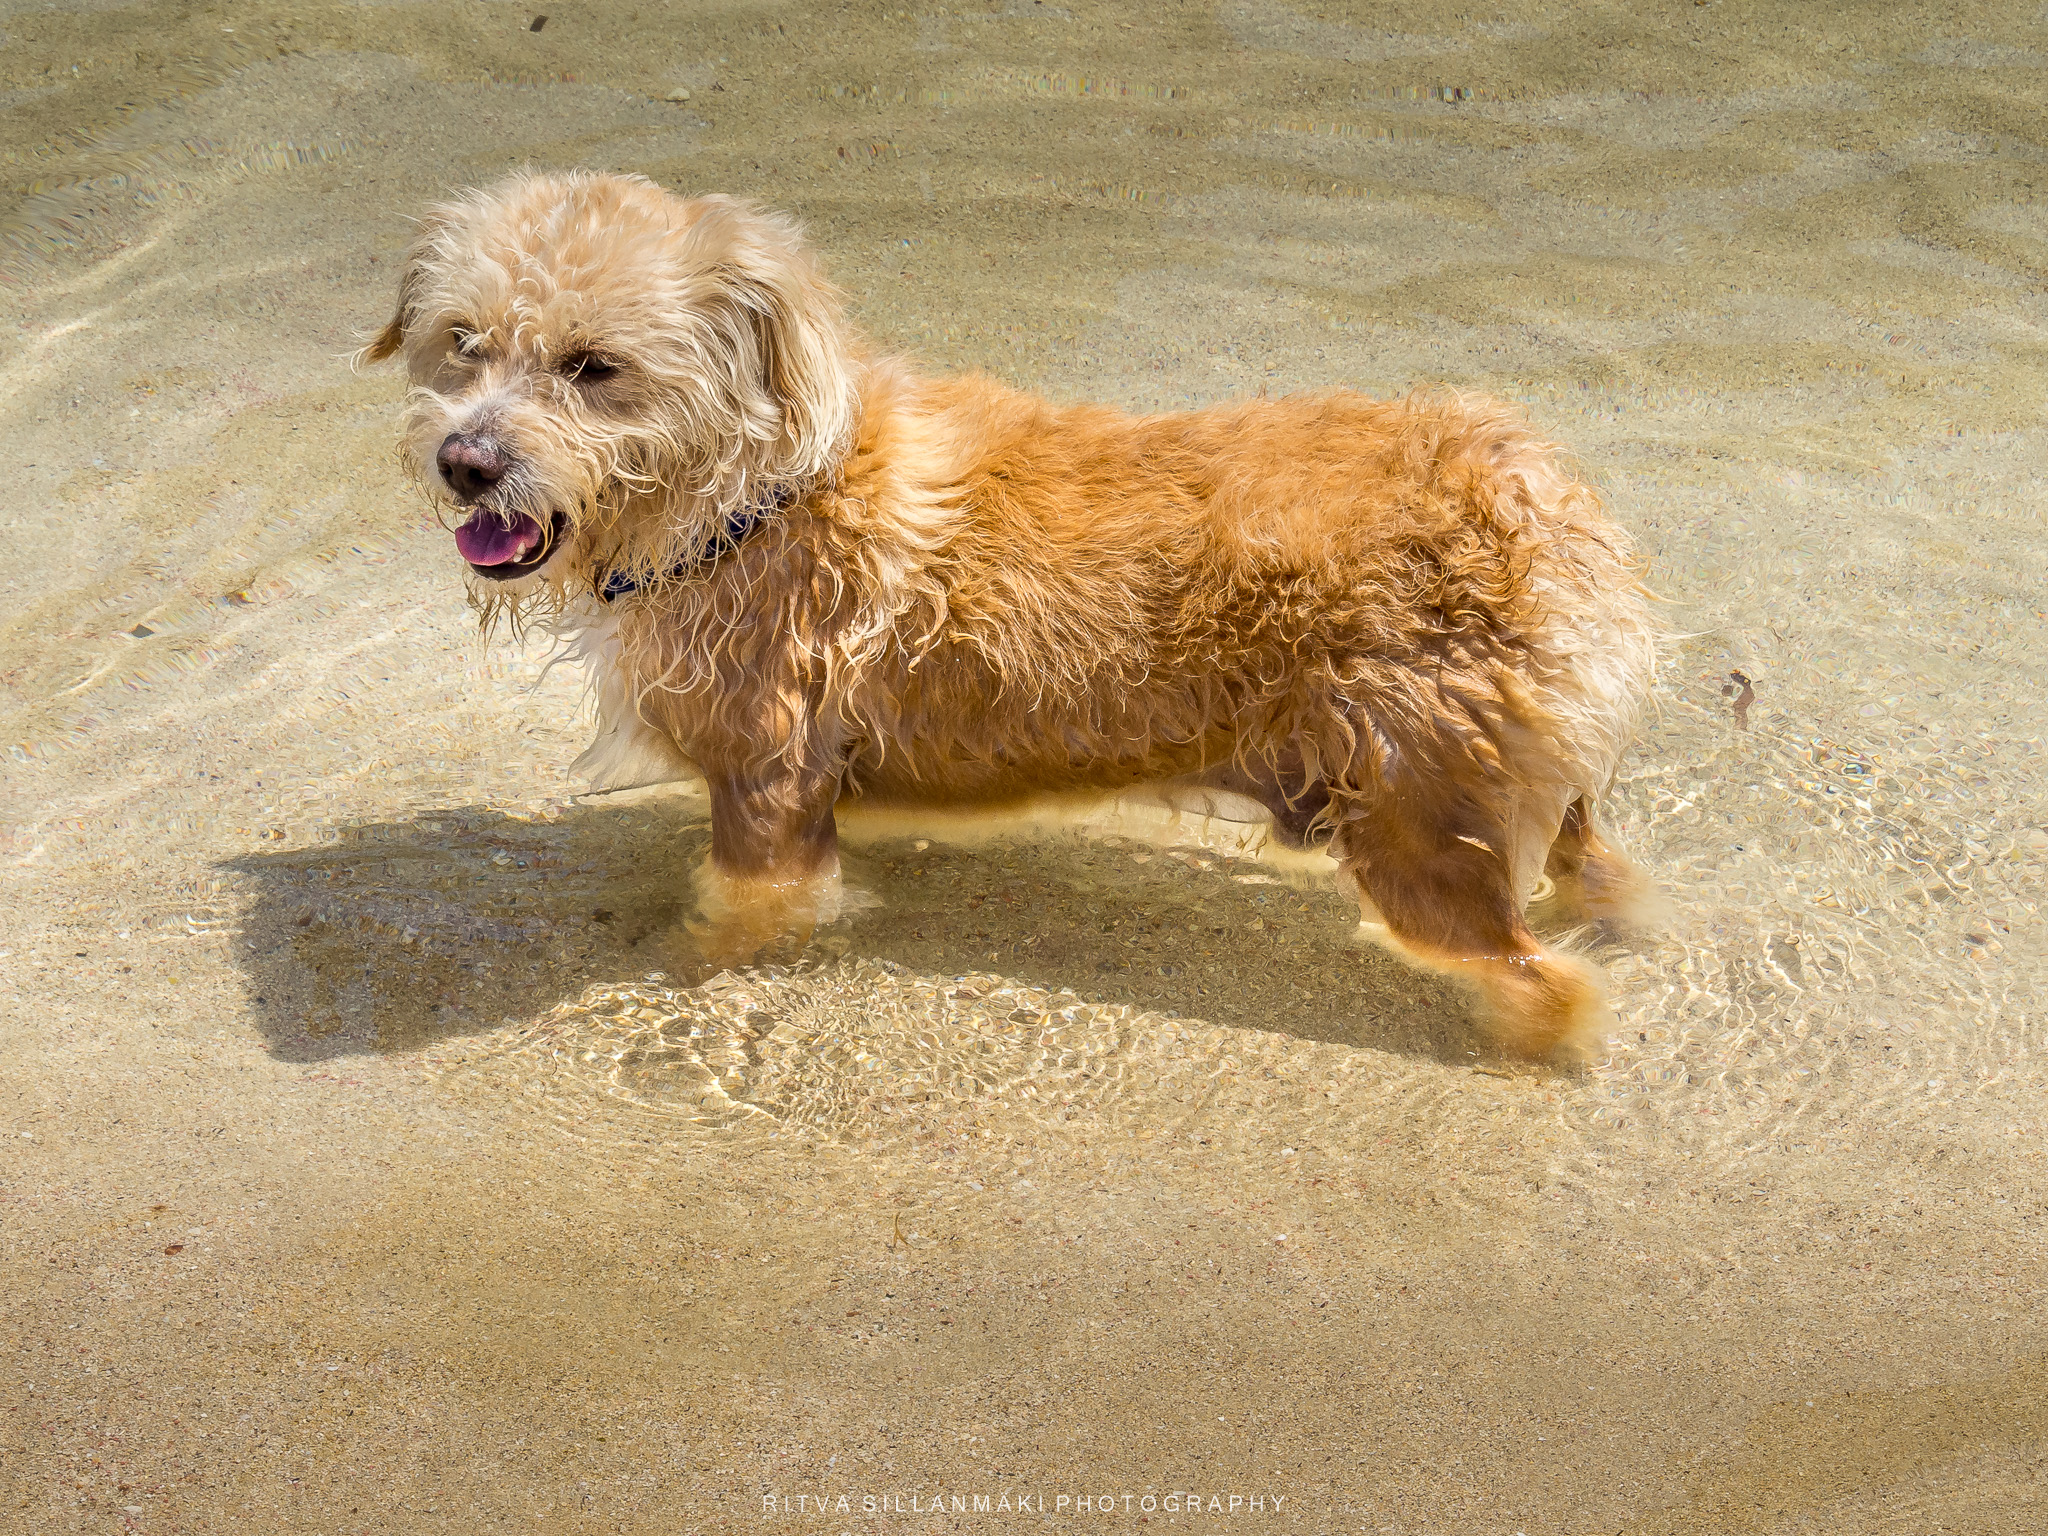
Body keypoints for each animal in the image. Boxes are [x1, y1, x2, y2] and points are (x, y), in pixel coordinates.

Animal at [361, 169, 1657, 1060]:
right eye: (461, 342)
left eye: (594, 366)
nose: (465, 463)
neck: (753, 495)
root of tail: (1528, 507)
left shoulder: (766, 808)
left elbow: (728, 927)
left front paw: (662, 969)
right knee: (1597, 878)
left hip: (1419, 840)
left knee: (1546, 982)